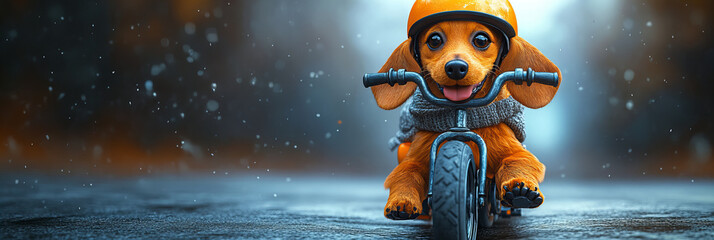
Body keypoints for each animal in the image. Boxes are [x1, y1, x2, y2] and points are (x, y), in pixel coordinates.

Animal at [370, 20, 560, 219]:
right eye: (434, 40)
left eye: (481, 40)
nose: (455, 67)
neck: (463, 117)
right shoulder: (414, 159)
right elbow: (405, 174)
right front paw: (402, 200)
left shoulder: (516, 152)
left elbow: (516, 163)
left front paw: (520, 188)